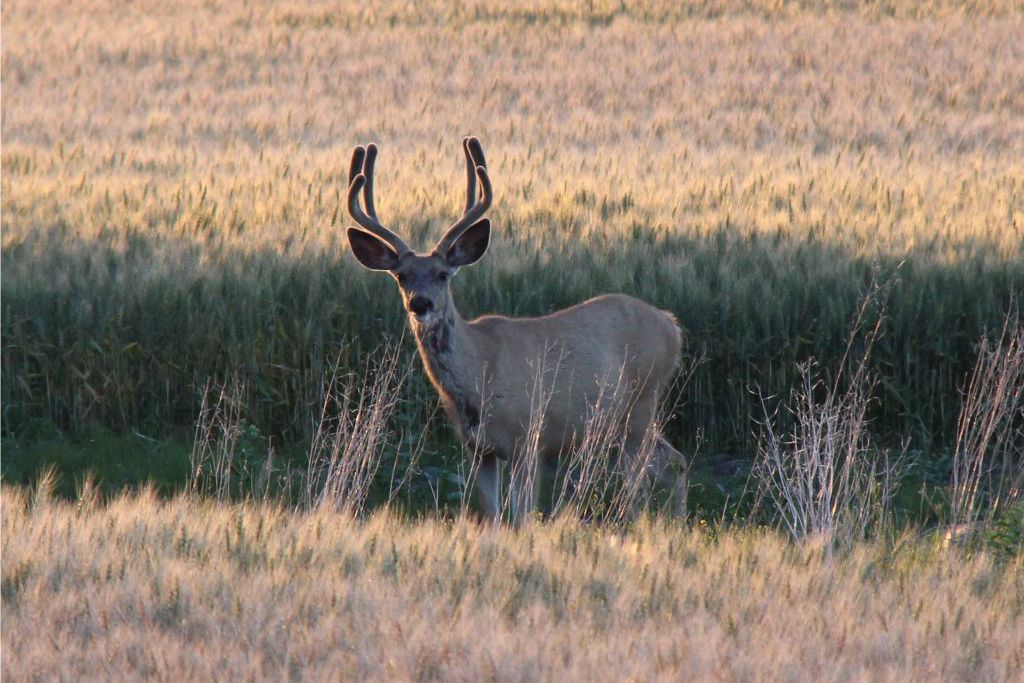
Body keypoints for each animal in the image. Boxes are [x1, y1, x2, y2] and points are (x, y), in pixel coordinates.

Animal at [345, 137, 687, 523]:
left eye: (442, 274)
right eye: (401, 276)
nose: (420, 304)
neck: (478, 373)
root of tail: (672, 325)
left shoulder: (528, 438)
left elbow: (521, 516)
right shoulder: (478, 450)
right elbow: (492, 515)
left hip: (643, 401)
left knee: (643, 481)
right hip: (622, 421)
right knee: (675, 462)